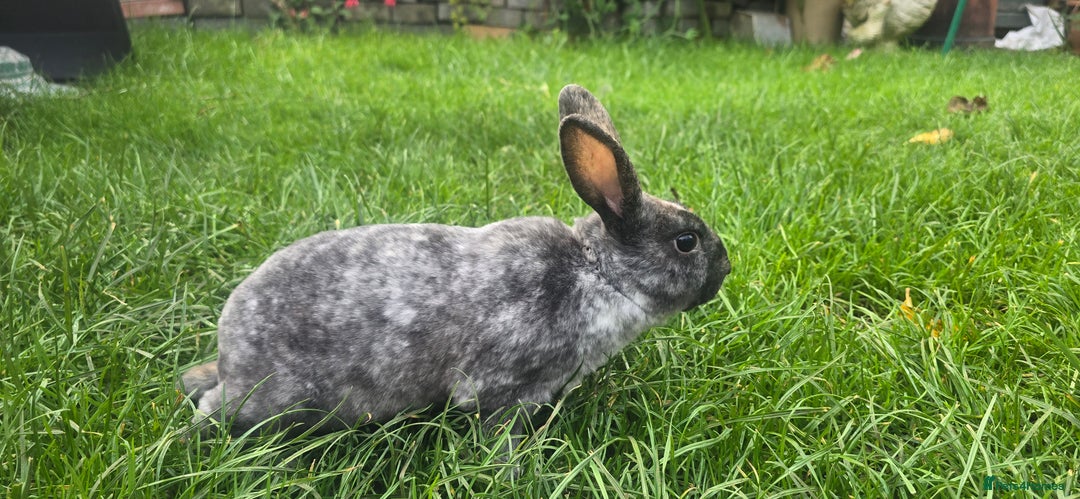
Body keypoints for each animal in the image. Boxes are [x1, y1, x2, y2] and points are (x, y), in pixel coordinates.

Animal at [180, 84, 731, 449]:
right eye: (686, 242)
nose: (725, 268)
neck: (599, 274)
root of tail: (229, 347)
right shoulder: (508, 390)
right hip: (277, 401)